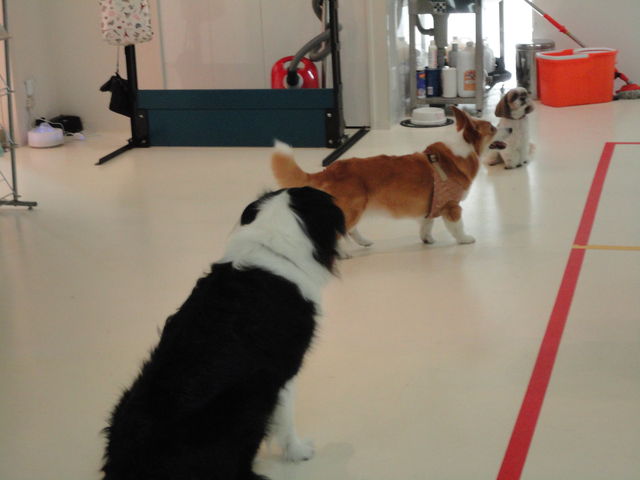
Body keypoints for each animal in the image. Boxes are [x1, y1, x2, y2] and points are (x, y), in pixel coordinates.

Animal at [101, 187, 345, 480]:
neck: (273, 249)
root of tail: (124, 466)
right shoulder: (283, 371)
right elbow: (286, 421)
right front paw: (298, 452)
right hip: (247, 404)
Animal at [272, 106, 496, 250]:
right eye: (492, 128)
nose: (502, 126)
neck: (463, 149)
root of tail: (329, 170)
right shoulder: (452, 207)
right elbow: (458, 227)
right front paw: (466, 239)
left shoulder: (431, 207)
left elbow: (426, 226)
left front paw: (427, 239)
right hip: (353, 209)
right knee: (339, 232)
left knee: (350, 231)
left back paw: (364, 242)